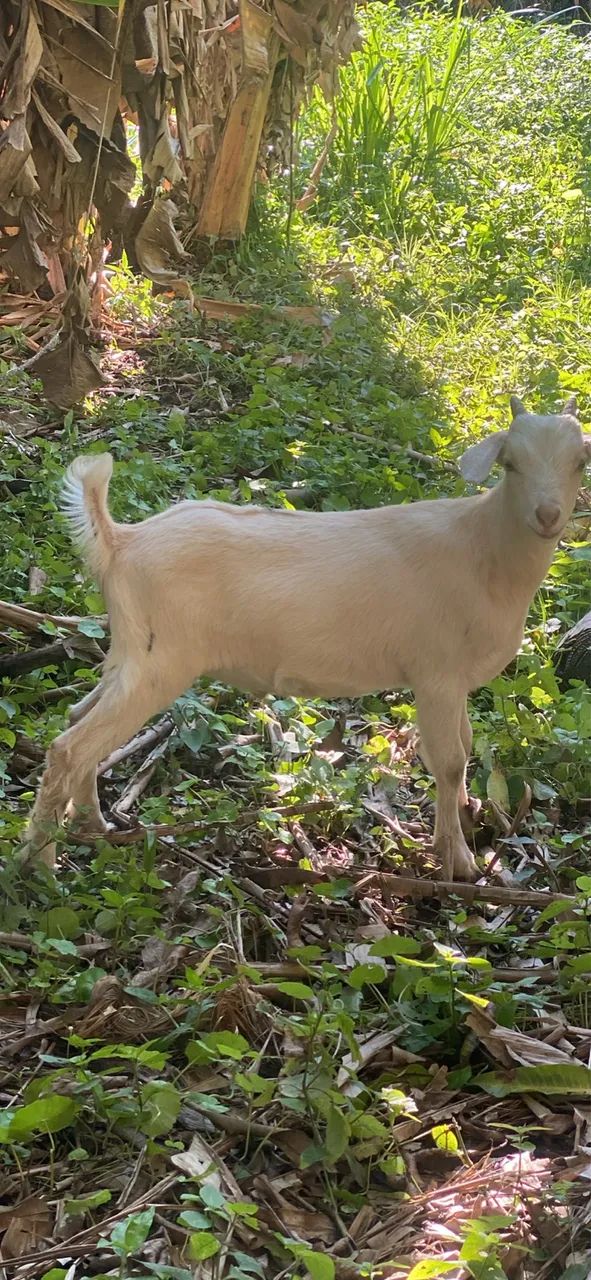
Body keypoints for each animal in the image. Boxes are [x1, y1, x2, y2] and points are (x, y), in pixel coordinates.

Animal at [24, 396, 590, 878]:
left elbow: (467, 749)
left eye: (579, 461)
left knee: (76, 718)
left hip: (130, 650)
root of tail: (121, 540)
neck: (485, 553)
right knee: (70, 746)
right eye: (510, 463)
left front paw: (469, 824)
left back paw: (91, 823)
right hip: (161, 660)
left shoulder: (457, 683)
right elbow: (449, 763)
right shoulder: (436, 675)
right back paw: (41, 866)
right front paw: (457, 863)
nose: (547, 516)